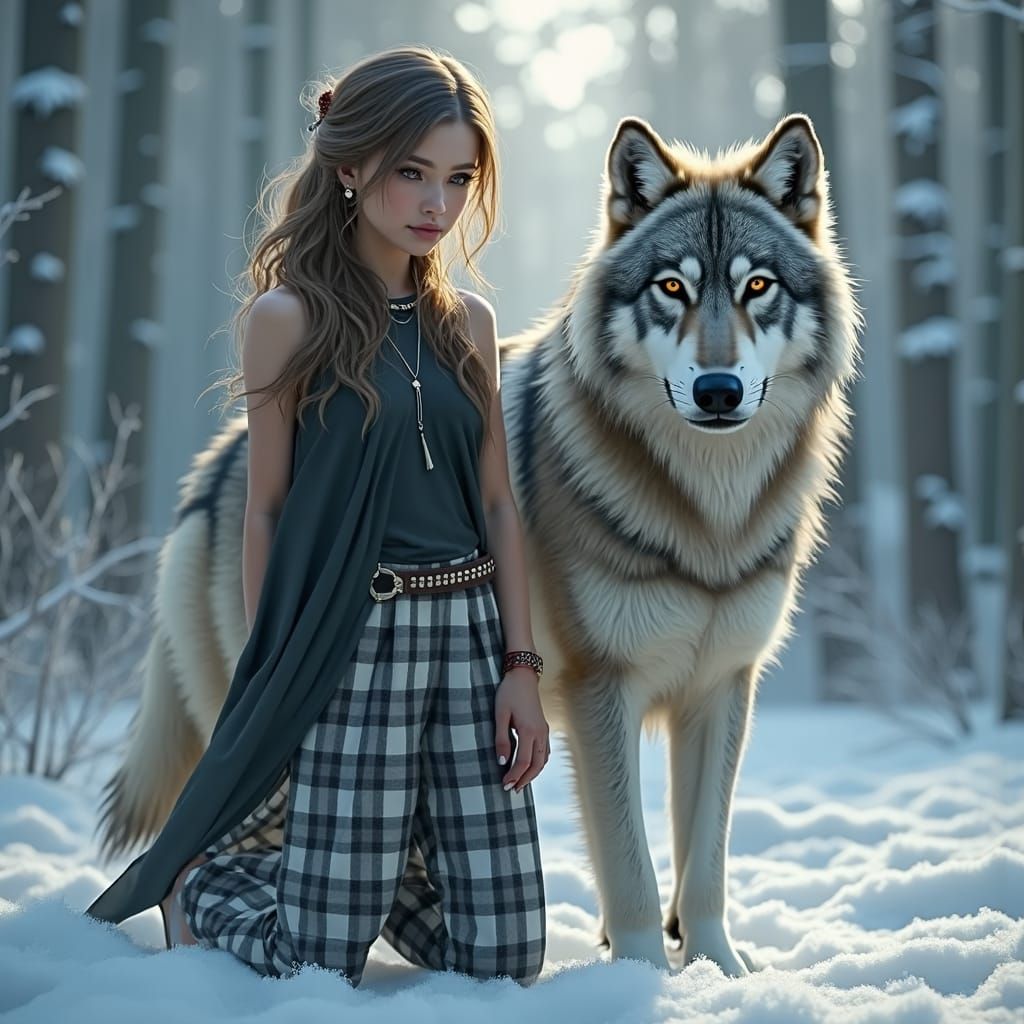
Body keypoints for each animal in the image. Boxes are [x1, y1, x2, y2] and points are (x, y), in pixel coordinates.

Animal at [97, 114, 859, 977]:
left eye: (757, 286)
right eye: (673, 288)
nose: (719, 391)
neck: (708, 514)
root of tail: (212, 466)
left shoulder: (723, 685)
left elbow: (706, 866)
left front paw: (719, 971)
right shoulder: (603, 690)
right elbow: (630, 866)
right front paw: (639, 976)